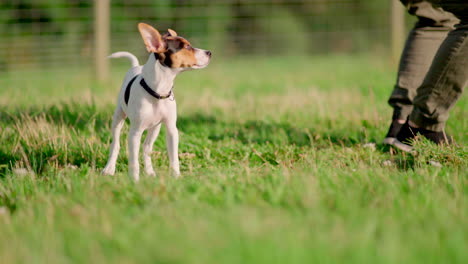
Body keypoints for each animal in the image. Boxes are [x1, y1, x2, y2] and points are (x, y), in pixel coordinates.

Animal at [103, 22, 213, 180]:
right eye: (186, 47)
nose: (209, 52)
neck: (158, 93)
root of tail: (135, 66)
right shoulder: (135, 133)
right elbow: (134, 160)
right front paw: (134, 180)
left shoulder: (172, 130)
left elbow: (174, 157)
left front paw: (176, 176)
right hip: (118, 117)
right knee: (116, 144)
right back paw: (109, 169)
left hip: (155, 128)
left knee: (147, 148)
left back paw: (149, 171)